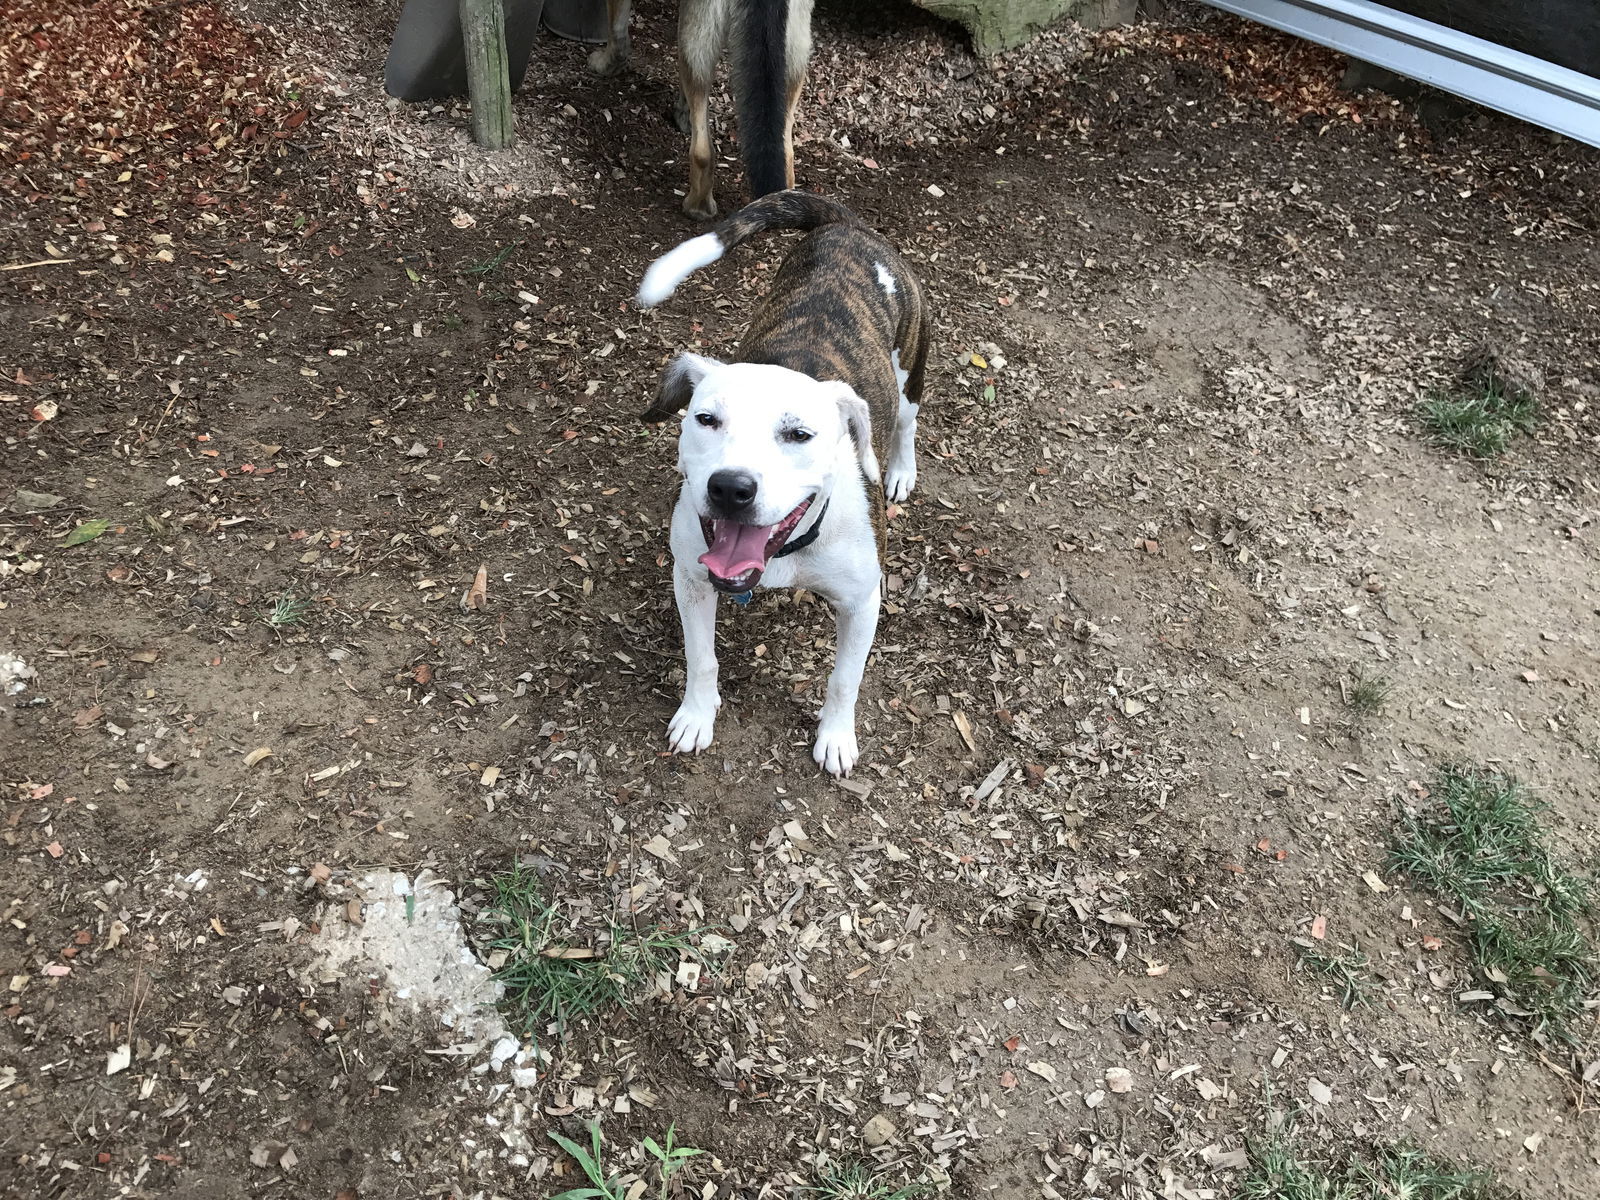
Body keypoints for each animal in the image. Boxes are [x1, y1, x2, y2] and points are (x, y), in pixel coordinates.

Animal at [585, 0, 812, 220]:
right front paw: (683, 114)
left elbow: (617, 33)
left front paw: (606, 64)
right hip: (795, 49)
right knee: (786, 148)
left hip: (697, 36)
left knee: (702, 150)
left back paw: (697, 207)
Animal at [633, 195, 934, 780]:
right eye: (706, 419)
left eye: (799, 435)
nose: (730, 488)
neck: (787, 549)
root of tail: (848, 227)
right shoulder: (691, 580)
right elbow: (702, 659)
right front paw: (697, 715)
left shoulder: (861, 603)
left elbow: (844, 679)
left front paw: (835, 737)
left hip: (911, 371)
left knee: (907, 423)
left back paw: (900, 471)